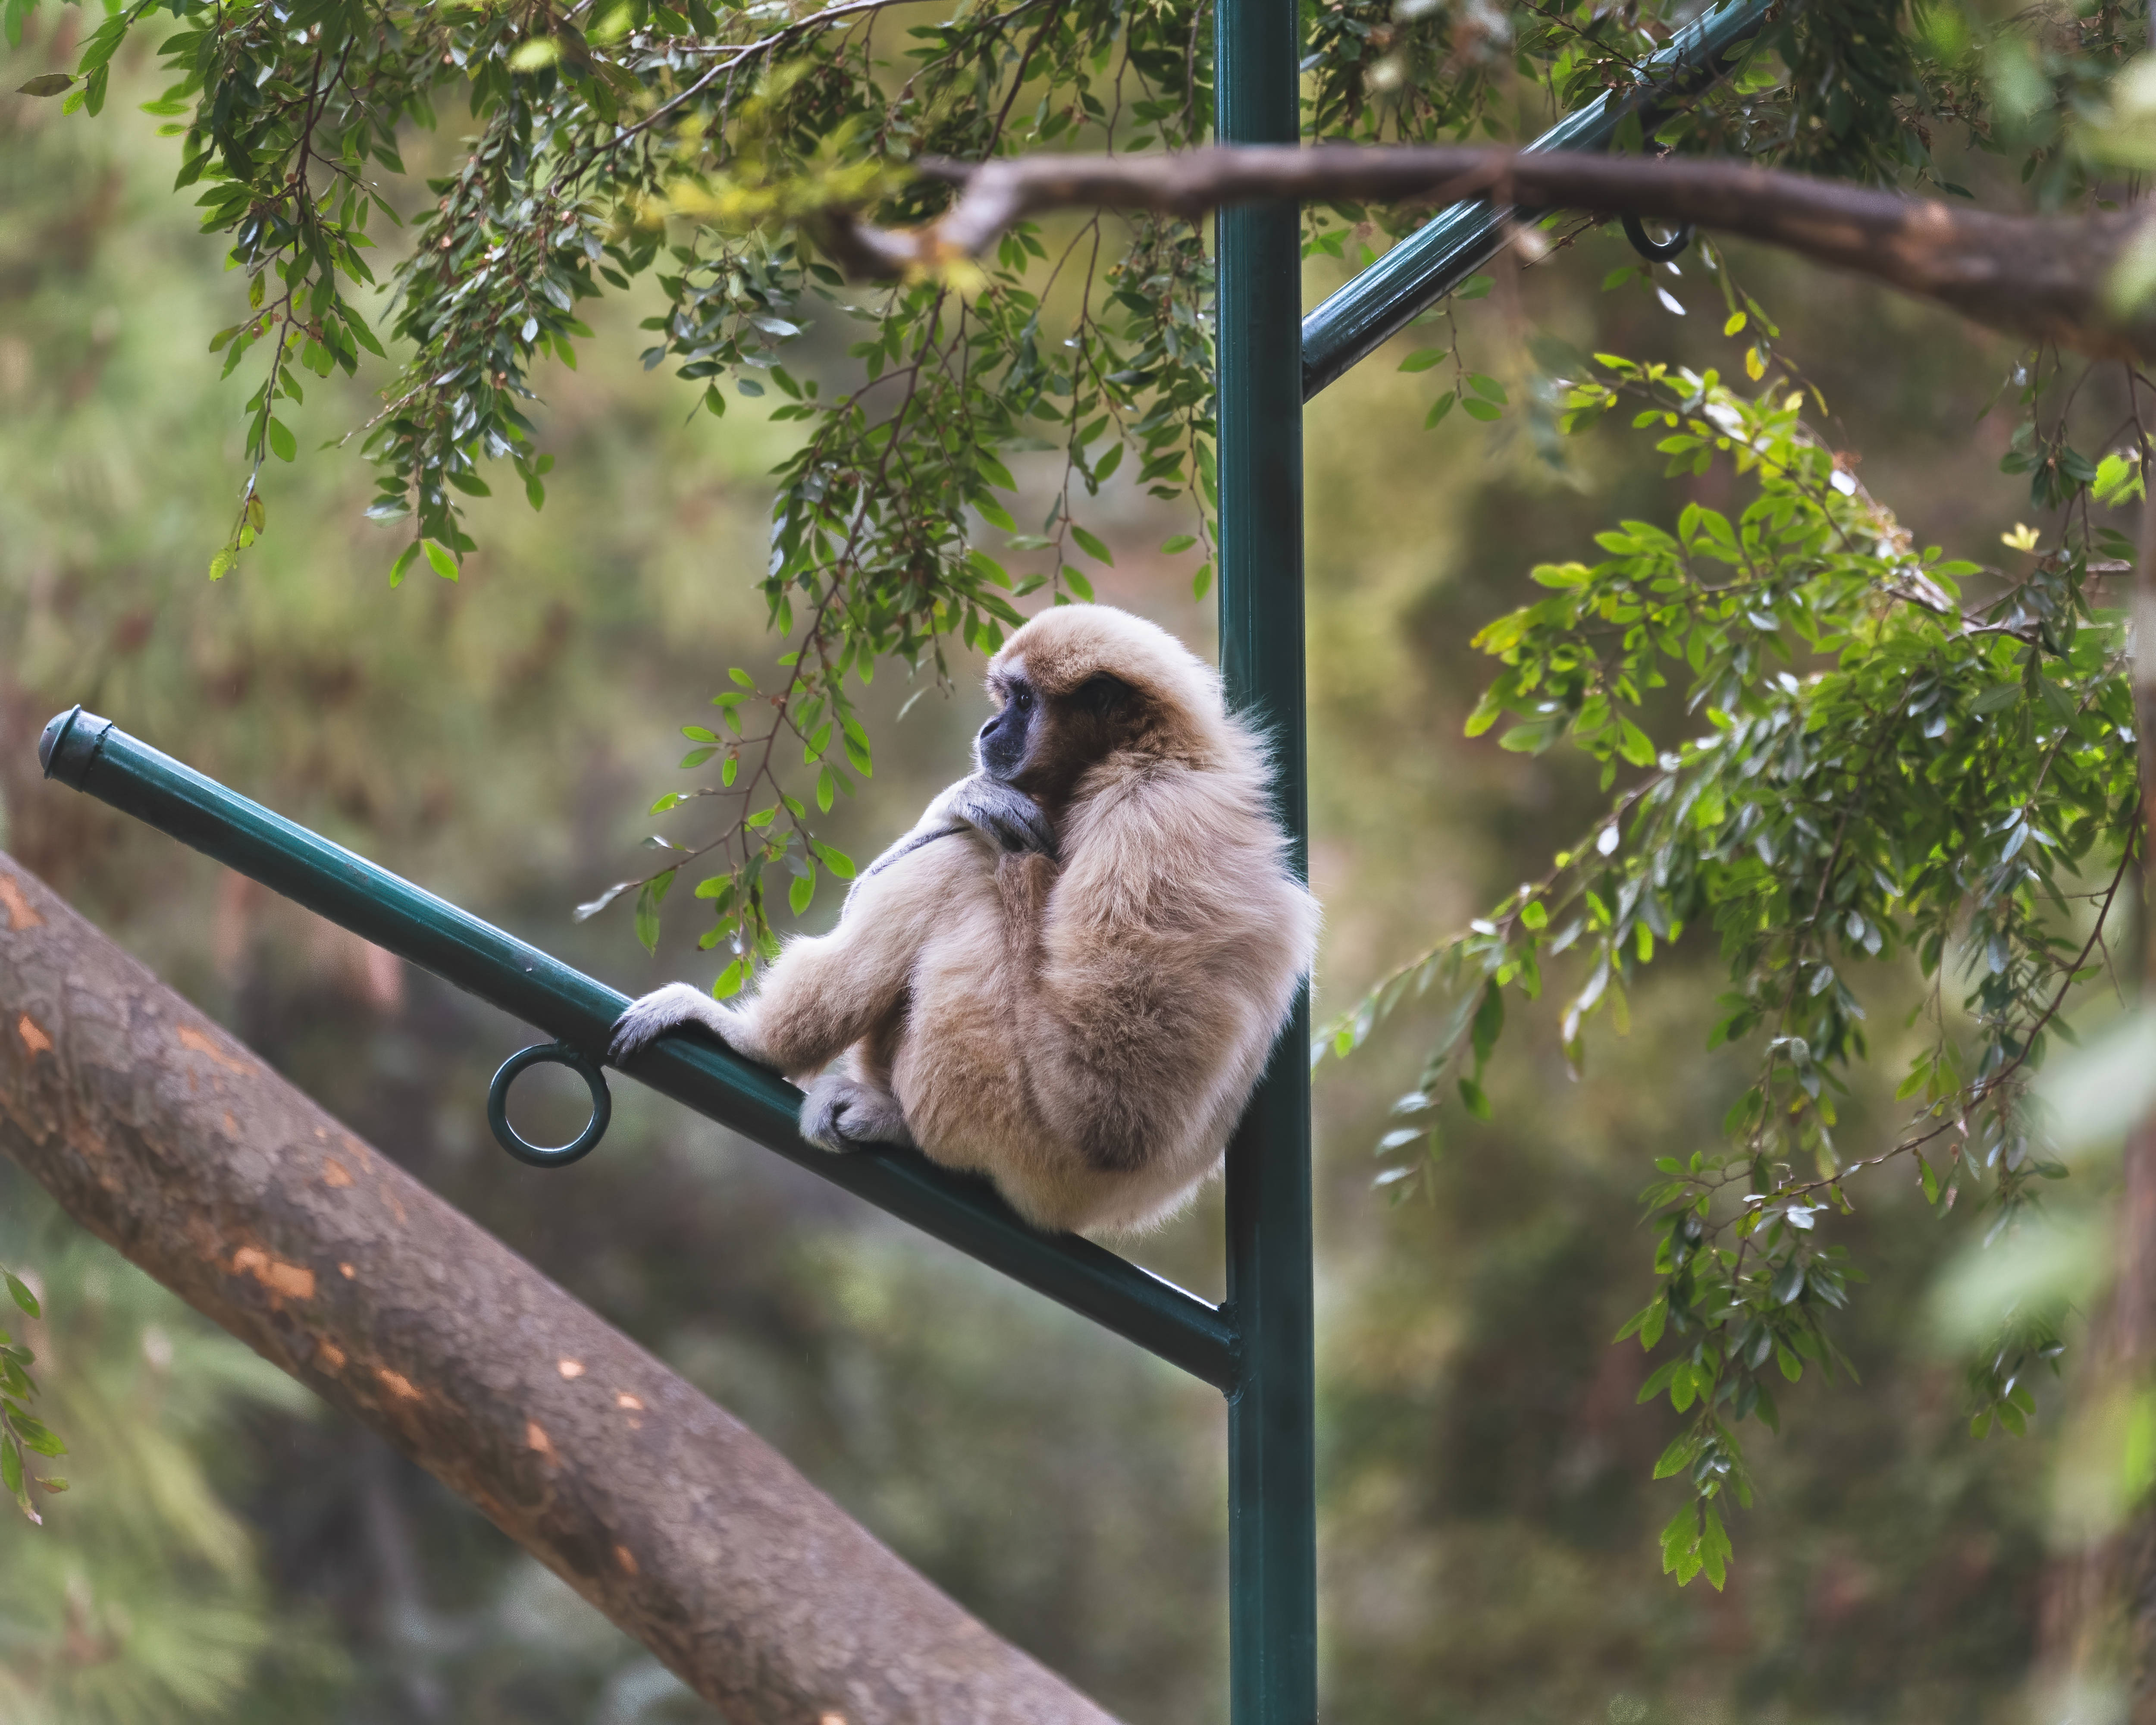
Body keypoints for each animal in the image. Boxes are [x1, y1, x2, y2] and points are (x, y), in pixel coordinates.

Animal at [607, 603, 1319, 1236]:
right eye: (1004, 697)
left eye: (1024, 702)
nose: (988, 728)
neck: (1155, 756)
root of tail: (1078, 1214)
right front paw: (964, 799)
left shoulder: (1152, 824)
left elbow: (1113, 1108)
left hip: (1009, 1121)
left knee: (961, 866)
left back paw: (760, 1046)